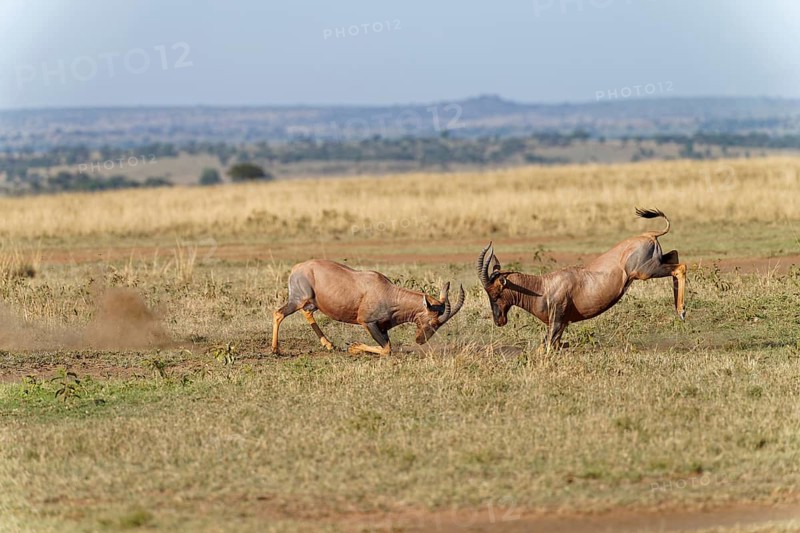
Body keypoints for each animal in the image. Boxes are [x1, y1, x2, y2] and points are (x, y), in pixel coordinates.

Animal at [271, 260, 465, 356]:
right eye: (433, 322)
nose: (420, 340)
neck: (387, 291)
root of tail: (297, 268)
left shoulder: (383, 328)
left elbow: (387, 346)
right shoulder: (368, 322)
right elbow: (387, 349)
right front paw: (353, 347)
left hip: (311, 303)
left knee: (306, 312)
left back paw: (329, 345)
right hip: (299, 299)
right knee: (278, 313)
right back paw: (275, 351)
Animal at [477, 208, 687, 353]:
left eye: (495, 293)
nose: (499, 321)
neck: (543, 286)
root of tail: (648, 234)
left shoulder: (557, 322)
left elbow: (545, 348)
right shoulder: (561, 325)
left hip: (645, 271)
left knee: (681, 267)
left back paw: (682, 312)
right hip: (655, 264)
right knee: (675, 256)